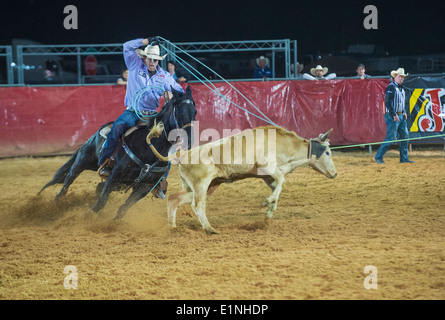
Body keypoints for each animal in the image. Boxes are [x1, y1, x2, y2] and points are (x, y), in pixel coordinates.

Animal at [38, 85, 196, 220]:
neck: (149, 148)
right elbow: (101, 202)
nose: (189, 138)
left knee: (96, 187)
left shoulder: (145, 186)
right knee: (67, 180)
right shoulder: (116, 174)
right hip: (83, 160)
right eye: (179, 111)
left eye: (194, 111)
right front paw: (87, 217)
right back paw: (54, 203)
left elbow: (123, 209)